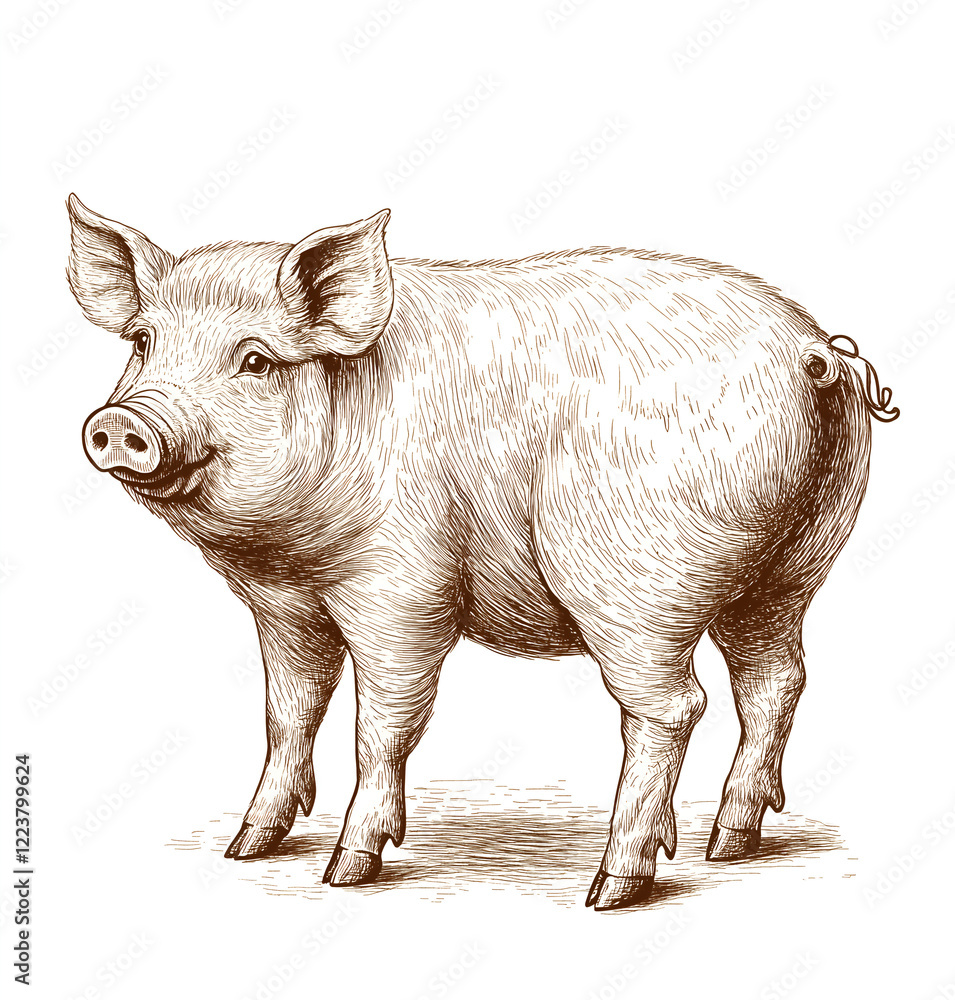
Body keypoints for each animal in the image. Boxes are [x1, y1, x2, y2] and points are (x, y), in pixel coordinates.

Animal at [68, 194, 894, 910]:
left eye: (255, 361)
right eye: (142, 343)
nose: (121, 422)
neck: (291, 553)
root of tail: (810, 351)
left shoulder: (402, 589)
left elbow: (381, 724)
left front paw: (345, 871)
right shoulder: (284, 607)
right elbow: (289, 712)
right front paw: (246, 847)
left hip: (635, 582)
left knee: (672, 706)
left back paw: (610, 888)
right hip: (791, 568)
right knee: (774, 682)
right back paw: (728, 845)